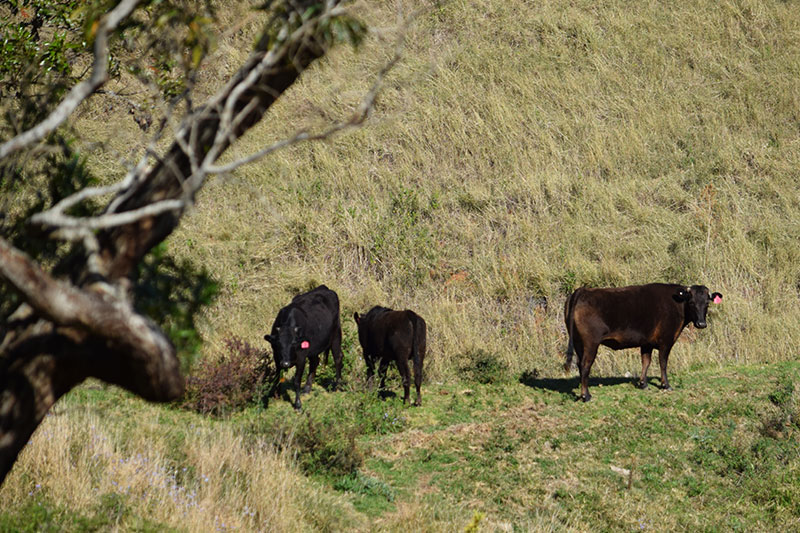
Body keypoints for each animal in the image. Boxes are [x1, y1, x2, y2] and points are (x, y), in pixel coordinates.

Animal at [564, 282, 724, 400]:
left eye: (707, 303)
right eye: (691, 302)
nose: (701, 324)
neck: (677, 304)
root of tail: (583, 290)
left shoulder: (646, 343)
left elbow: (646, 362)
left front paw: (643, 384)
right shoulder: (666, 341)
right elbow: (663, 363)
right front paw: (666, 385)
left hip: (578, 342)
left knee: (580, 364)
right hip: (591, 343)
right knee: (585, 365)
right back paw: (586, 396)